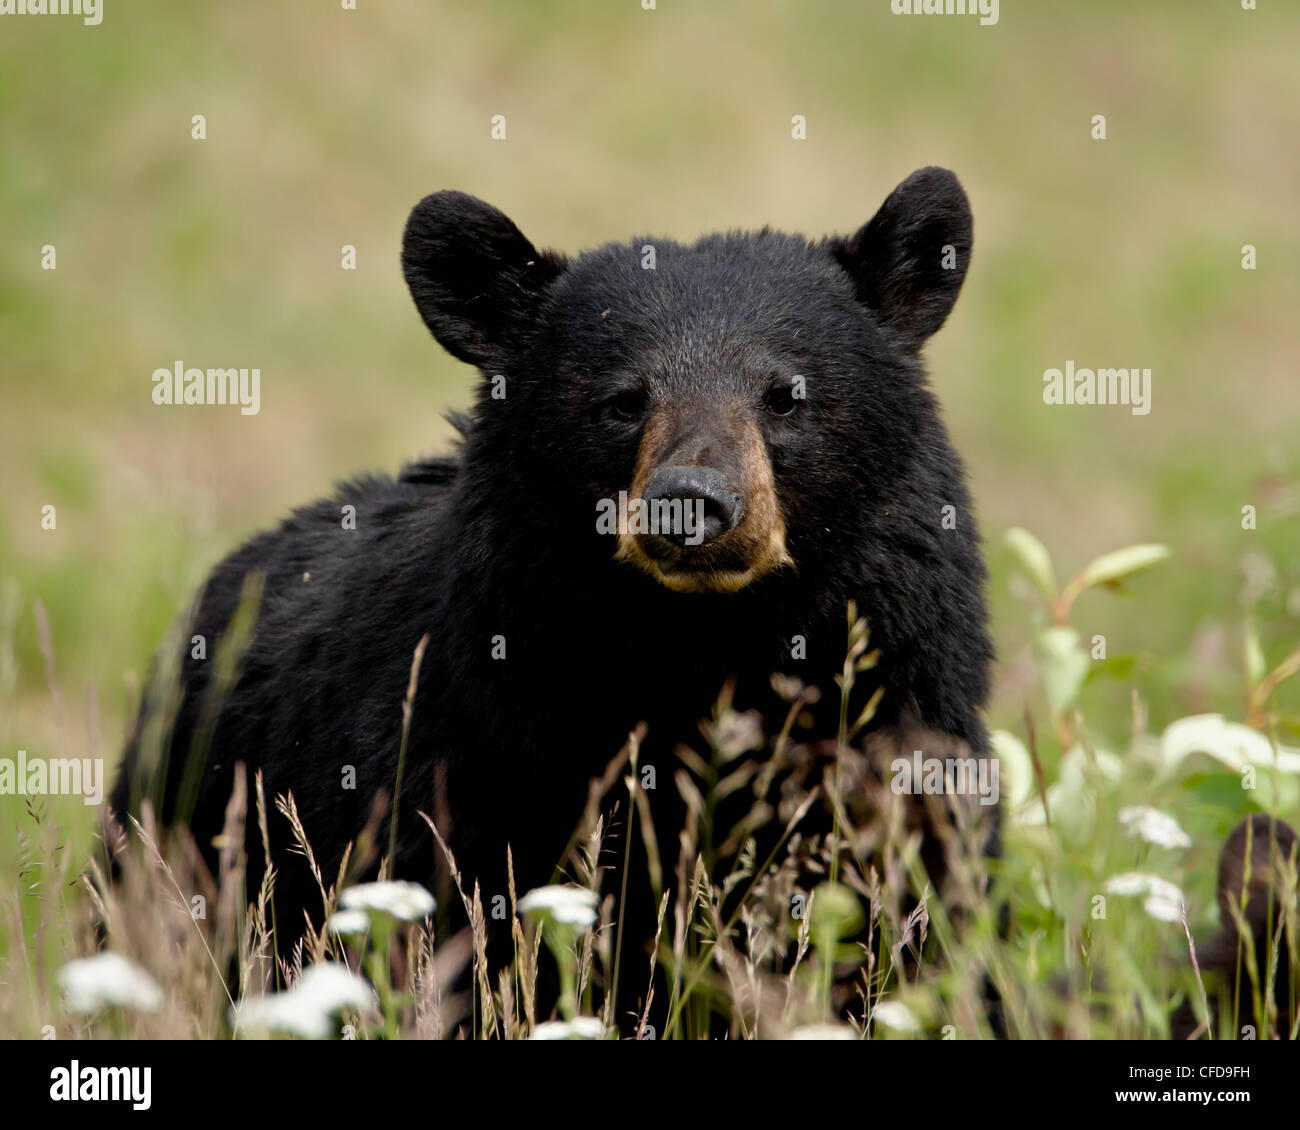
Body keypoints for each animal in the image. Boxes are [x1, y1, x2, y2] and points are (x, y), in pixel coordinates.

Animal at [111, 170, 993, 1029]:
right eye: (624, 399)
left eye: (785, 395)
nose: (691, 503)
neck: (702, 650)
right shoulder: (466, 769)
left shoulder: (904, 737)